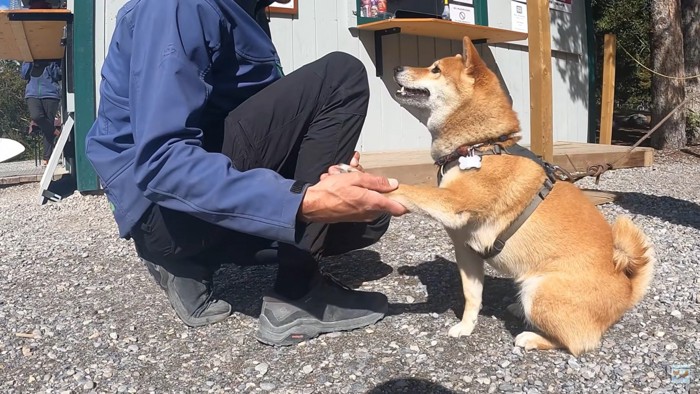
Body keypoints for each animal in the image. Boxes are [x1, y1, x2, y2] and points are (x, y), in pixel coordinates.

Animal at [386, 37, 652, 358]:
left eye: (435, 69)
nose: (397, 67)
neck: (480, 145)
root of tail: (626, 290)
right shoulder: (467, 252)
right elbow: (472, 297)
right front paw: (466, 327)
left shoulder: (452, 203)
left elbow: (410, 190)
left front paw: (366, 178)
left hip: (539, 290)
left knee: (578, 342)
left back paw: (531, 337)